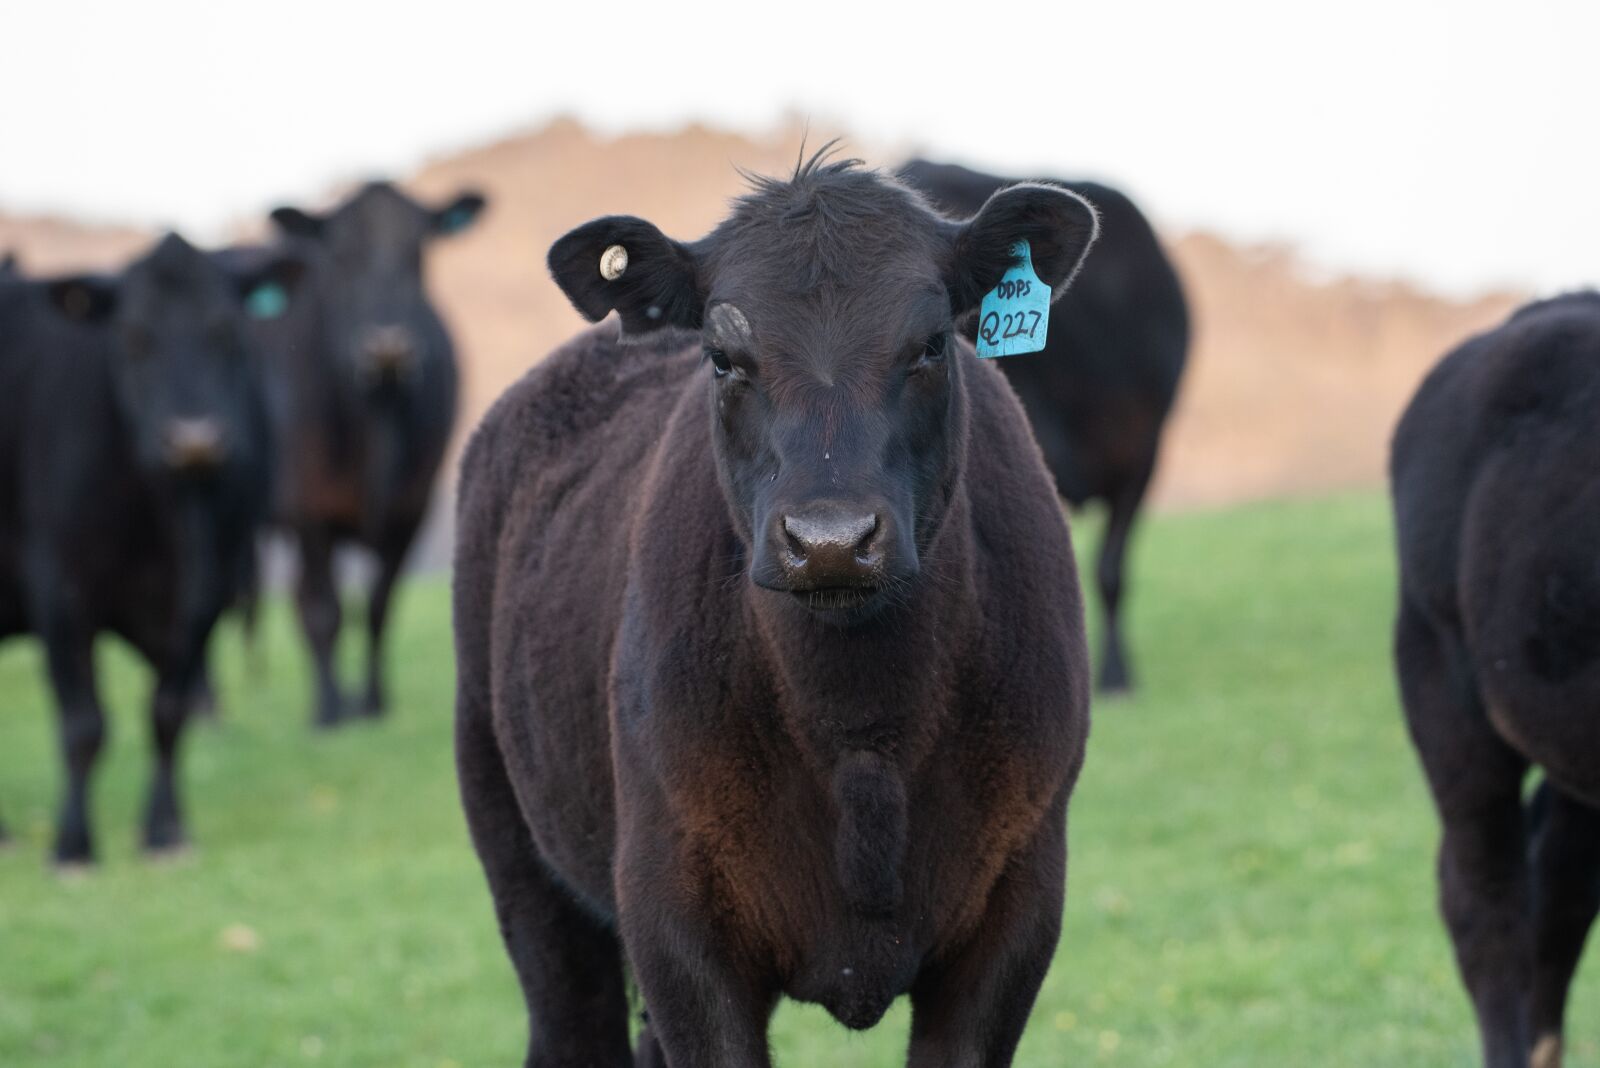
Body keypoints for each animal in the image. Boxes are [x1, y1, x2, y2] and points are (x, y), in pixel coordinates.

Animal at [0, 234, 300, 863]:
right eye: (135, 337)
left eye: (225, 331)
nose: (194, 439)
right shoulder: (58, 590)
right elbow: (83, 725)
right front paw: (73, 846)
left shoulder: (206, 593)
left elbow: (169, 712)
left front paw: (165, 831)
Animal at [261, 181, 485, 727]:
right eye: (342, 254)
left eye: (418, 248)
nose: (387, 342)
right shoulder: (307, 508)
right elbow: (324, 608)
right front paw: (329, 711)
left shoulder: (413, 507)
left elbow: (380, 605)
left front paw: (372, 703)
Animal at [454, 151, 1096, 1066]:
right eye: (723, 357)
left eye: (933, 343)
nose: (830, 538)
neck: (864, 734)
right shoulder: (674, 917)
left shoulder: (1018, 904)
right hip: (519, 851)